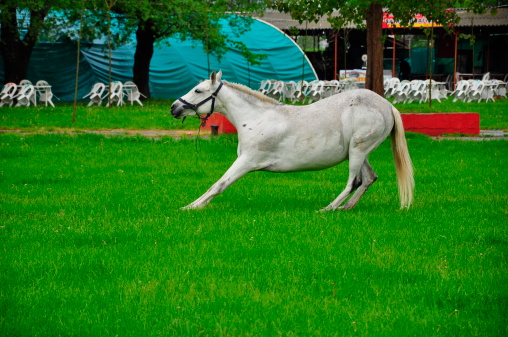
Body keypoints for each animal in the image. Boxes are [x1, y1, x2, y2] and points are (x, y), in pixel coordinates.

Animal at [171, 71, 412, 210]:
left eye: (198, 90)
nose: (174, 107)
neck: (256, 118)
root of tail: (387, 105)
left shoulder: (246, 161)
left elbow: (219, 185)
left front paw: (191, 207)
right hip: (359, 153)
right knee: (368, 178)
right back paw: (345, 208)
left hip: (357, 151)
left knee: (353, 182)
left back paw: (328, 209)